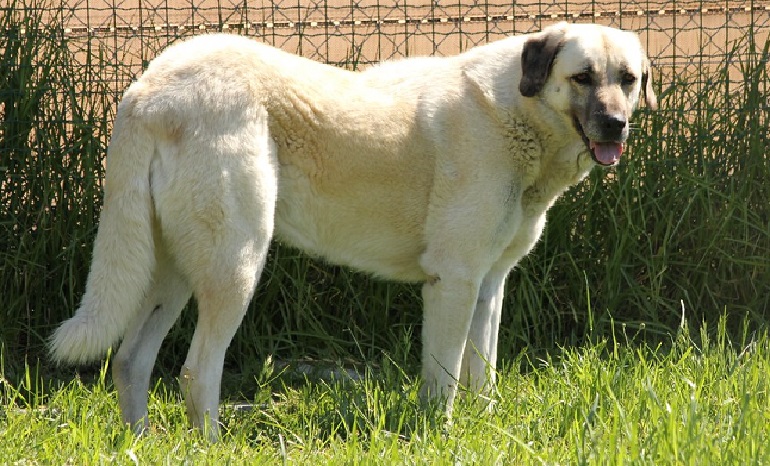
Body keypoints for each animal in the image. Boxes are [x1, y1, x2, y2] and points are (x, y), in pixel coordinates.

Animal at [51, 20, 656, 436]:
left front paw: (484, 430)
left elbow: (480, 374)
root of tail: (147, 87)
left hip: (175, 270)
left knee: (131, 362)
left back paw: (142, 444)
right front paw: (441, 437)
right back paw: (211, 446)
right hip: (236, 264)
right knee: (195, 372)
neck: (519, 113)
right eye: (582, 77)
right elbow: (443, 380)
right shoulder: (453, 282)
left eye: (629, 80)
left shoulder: (488, 286)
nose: (616, 125)